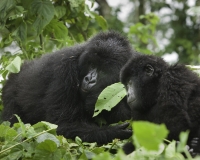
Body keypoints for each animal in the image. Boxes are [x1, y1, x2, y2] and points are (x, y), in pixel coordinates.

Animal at [1, 31, 136, 144]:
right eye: (92, 64)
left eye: (103, 71)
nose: (89, 79)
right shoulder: (65, 68)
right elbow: (61, 124)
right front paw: (112, 132)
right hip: (10, 90)